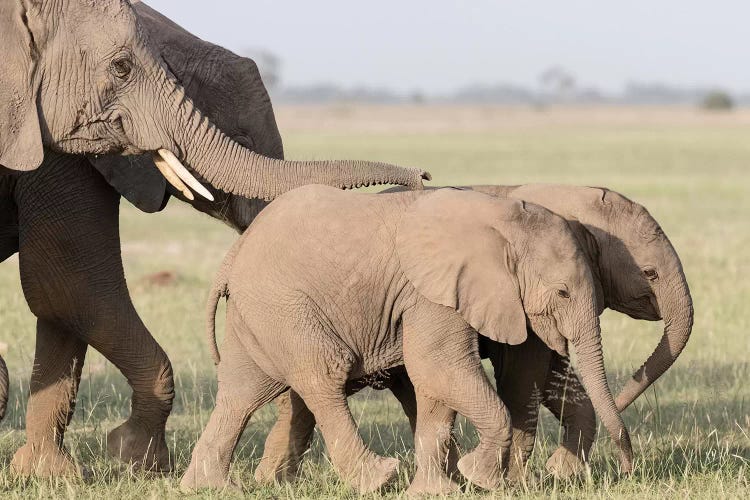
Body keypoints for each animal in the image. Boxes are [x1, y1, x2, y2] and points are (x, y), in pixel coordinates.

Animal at [0, 0, 426, 476]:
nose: (423, 177)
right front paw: (135, 455)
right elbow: (70, 286)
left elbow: (59, 300)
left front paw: (45, 471)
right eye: (121, 67)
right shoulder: (51, 147)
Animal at [182, 186, 636, 494]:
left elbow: (433, 387)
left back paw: (207, 487)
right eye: (562, 293)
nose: (629, 469)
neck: (500, 219)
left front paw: (441, 490)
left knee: (242, 392)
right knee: (322, 376)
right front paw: (478, 477)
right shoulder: (432, 292)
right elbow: (438, 367)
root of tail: (234, 256)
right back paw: (377, 478)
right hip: (283, 306)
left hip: (258, 314)